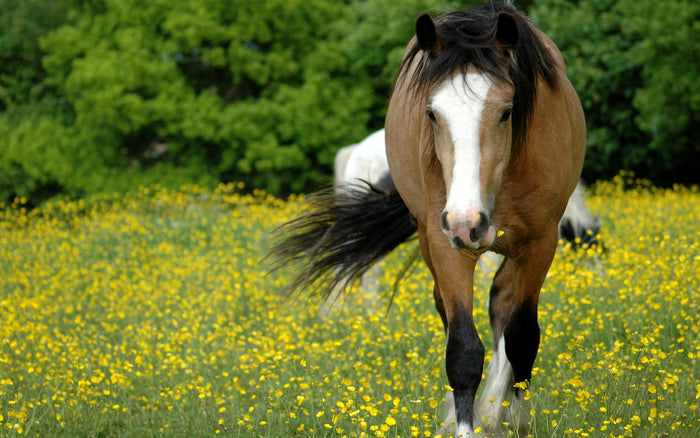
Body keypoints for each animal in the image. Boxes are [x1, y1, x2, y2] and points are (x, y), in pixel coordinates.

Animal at [268, 3, 586, 436]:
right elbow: (463, 350)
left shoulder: (540, 243)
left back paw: (495, 409)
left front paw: (511, 418)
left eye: (507, 112)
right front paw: (466, 423)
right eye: (433, 114)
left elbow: (521, 337)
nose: (468, 220)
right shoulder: (447, 243)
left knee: (502, 306)